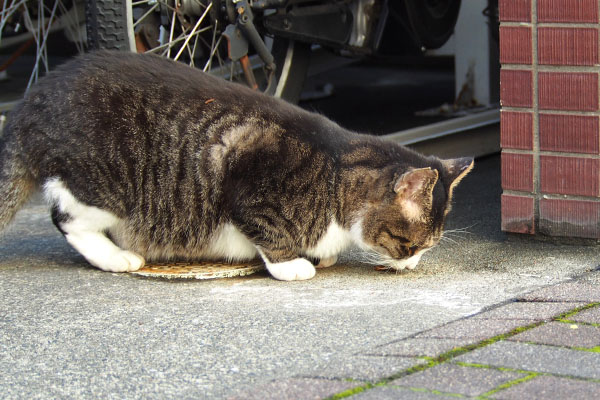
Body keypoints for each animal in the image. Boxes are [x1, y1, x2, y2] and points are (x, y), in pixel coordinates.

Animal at [0, 50, 476, 282]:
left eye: (427, 247)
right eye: (410, 245)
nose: (412, 266)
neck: (334, 171)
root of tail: (31, 99)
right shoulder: (248, 178)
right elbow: (268, 230)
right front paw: (292, 265)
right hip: (104, 185)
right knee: (65, 216)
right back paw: (116, 257)